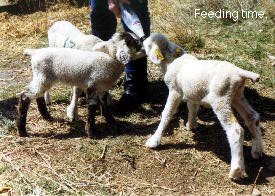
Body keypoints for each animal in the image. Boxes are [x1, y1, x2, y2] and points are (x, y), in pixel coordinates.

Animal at [143, 33, 264, 180]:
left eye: (147, 44)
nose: (140, 41)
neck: (171, 61)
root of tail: (239, 72)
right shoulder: (191, 92)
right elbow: (192, 107)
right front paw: (191, 125)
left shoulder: (175, 90)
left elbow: (167, 114)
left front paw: (154, 140)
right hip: (236, 95)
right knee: (252, 117)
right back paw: (257, 150)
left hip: (220, 97)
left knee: (236, 130)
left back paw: (236, 170)